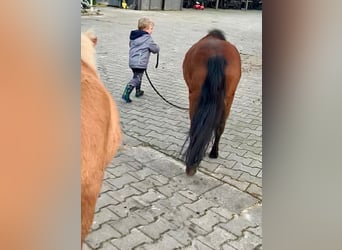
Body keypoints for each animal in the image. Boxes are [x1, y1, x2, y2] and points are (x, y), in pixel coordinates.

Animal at [183, 28, 242, 176]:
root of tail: (216, 55)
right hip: (229, 98)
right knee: (220, 126)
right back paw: (214, 153)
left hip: (195, 96)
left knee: (195, 124)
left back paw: (191, 164)